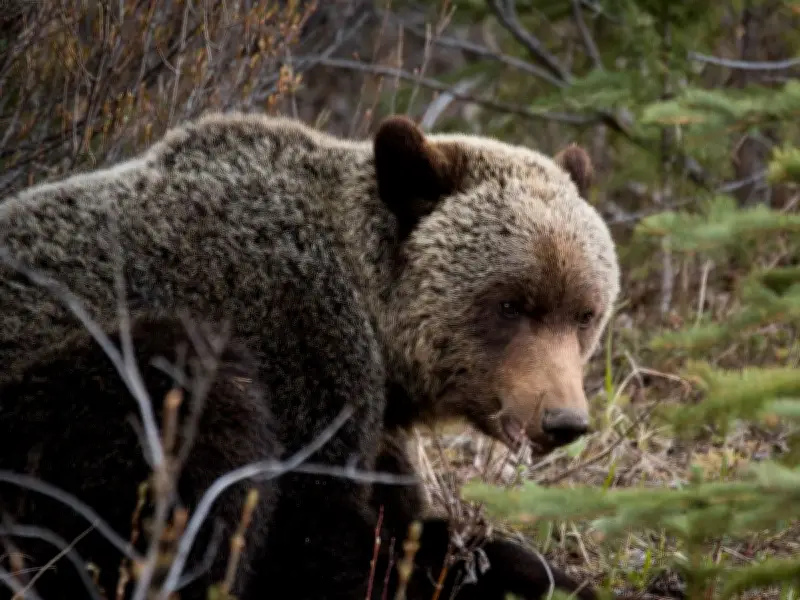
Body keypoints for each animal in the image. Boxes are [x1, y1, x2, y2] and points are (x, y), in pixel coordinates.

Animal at [0, 111, 620, 598]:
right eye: (511, 304)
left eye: (584, 313)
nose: (563, 419)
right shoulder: (304, 347)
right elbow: (312, 538)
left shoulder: (379, 430)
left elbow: (406, 522)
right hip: (59, 405)